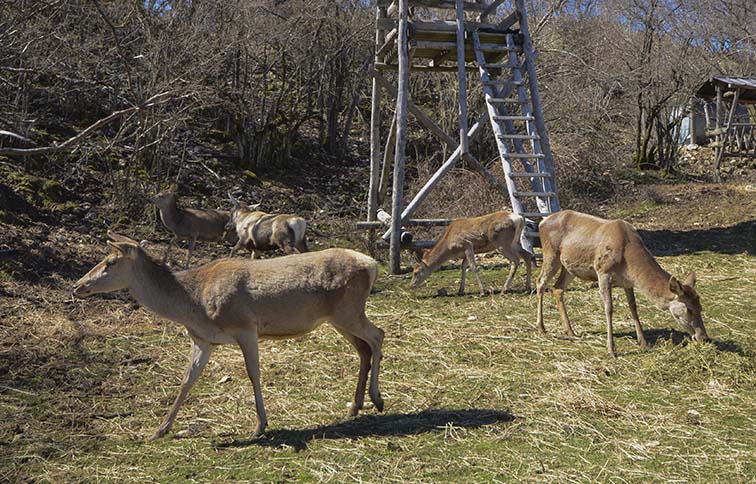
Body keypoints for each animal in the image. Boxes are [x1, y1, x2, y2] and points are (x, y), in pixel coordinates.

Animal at [72, 233, 384, 440]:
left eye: (111, 261)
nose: (77, 285)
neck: (193, 304)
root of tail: (372, 264)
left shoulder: (245, 327)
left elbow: (253, 374)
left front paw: (260, 426)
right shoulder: (203, 339)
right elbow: (187, 380)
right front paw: (159, 429)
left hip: (348, 311)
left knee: (378, 335)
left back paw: (377, 399)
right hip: (338, 318)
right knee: (363, 348)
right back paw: (355, 405)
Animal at [536, 210, 708, 358]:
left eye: (700, 307)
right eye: (689, 309)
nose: (704, 337)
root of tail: (542, 221)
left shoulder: (628, 282)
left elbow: (633, 307)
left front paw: (643, 342)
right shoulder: (603, 272)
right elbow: (609, 309)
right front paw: (611, 350)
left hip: (570, 267)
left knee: (557, 288)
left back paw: (570, 331)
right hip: (551, 254)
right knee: (540, 283)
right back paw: (542, 328)